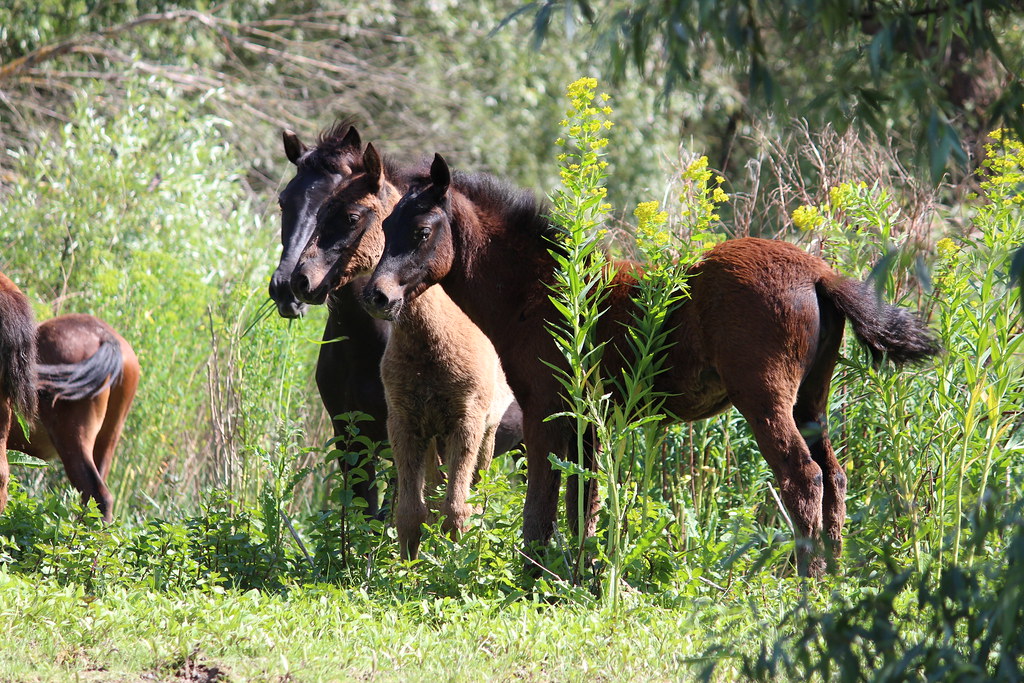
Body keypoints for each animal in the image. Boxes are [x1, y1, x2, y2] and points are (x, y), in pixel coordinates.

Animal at [292, 143, 520, 559]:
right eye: (384, 228)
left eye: (351, 217)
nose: (300, 280)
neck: (432, 342)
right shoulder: (405, 424)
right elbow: (410, 512)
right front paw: (411, 568)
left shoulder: (466, 425)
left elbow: (456, 509)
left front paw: (451, 564)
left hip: (489, 434)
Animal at [362, 154, 941, 577]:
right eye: (386, 226)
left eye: (421, 231)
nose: (377, 296)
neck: (544, 291)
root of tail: (821, 273)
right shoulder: (585, 422)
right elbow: (583, 502)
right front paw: (580, 575)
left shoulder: (546, 412)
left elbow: (541, 506)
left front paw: (533, 576)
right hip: (811, 401)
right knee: (835, 475)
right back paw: (838, 574)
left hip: (765, 400)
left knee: (804, 477)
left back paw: (807, 579)